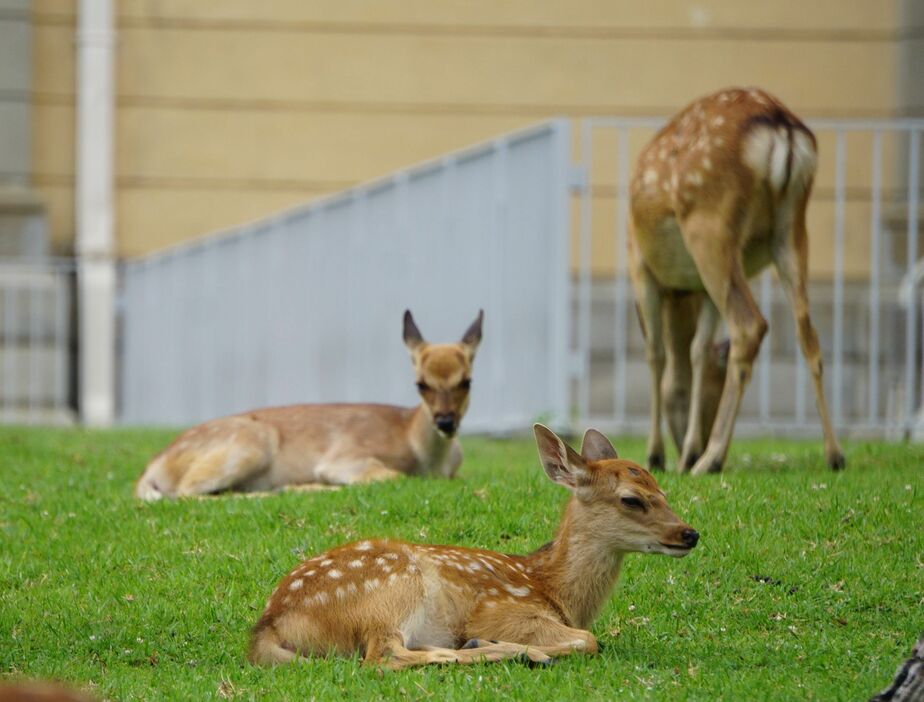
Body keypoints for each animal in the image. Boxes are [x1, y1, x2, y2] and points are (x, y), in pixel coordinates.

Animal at [139, 310, 484, 500]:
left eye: (467, 381)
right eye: (421, 383)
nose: (445, 422)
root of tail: (152, 468)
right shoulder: (344, 456)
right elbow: (392, 475)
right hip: (251, 443)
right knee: (187, 492)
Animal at [249, 424, 696, 672]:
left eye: (662, 491)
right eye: (631, 499)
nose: (690, 534)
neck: (554, 588)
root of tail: (268, 625)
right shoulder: (505, 611)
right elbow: (589, 639)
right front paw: (504, 645)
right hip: (391, 590)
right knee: (383, 657)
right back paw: (509, 652)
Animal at [628, 85, 844, 476]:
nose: (689, 445)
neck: (680, 295)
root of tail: (782, 128)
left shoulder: (639, 265)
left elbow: (656, 354)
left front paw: (657, 455)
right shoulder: (700, 288)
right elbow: (698, 350)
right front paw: (685, 451)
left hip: (710, 224)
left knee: (750, 325)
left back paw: (710, 459)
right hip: (790, 230)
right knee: (808, 333)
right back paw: (834, 454)